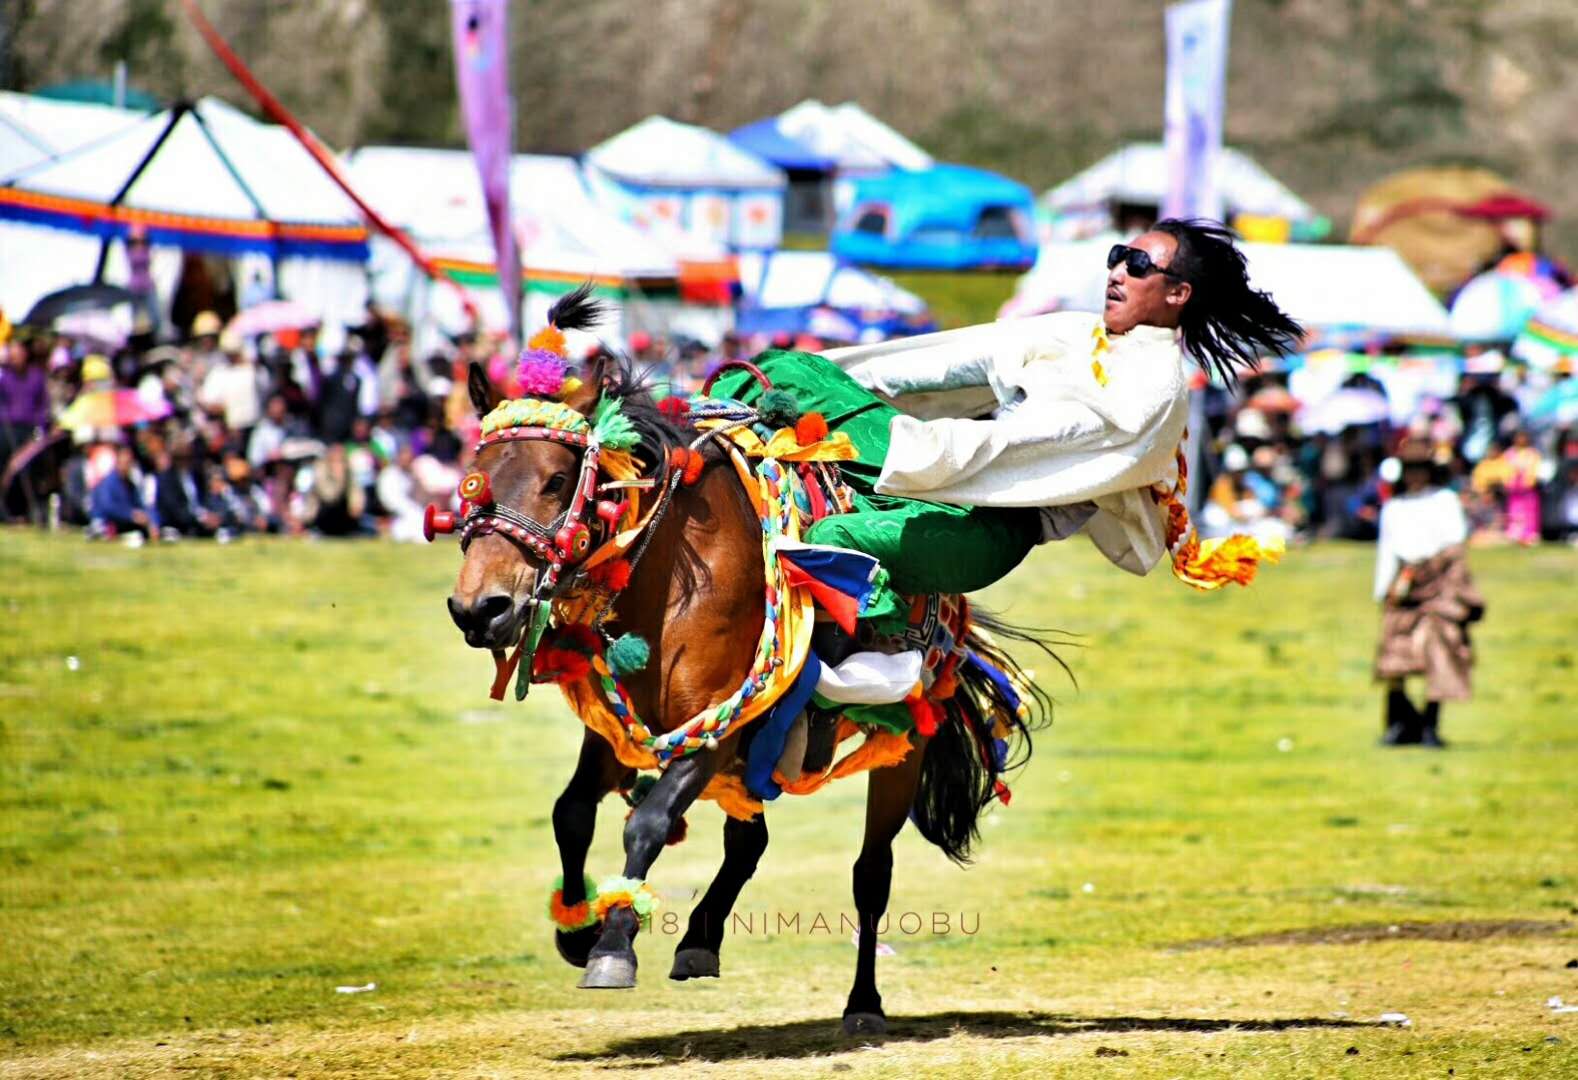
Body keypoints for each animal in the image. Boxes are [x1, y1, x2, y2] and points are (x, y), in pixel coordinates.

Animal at [441, 290, 1047, 1035]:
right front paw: (576, 928)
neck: (671, 578)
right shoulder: (621, 731)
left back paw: (863, 1003)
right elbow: (571, 811)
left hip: (898, 745)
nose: (480, 608)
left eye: (557, 481)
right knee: (747, 844)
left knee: (871, 874)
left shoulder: (716, 725)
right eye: (473, 481)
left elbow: (646, 822)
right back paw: (700, 938)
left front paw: (612, 945)